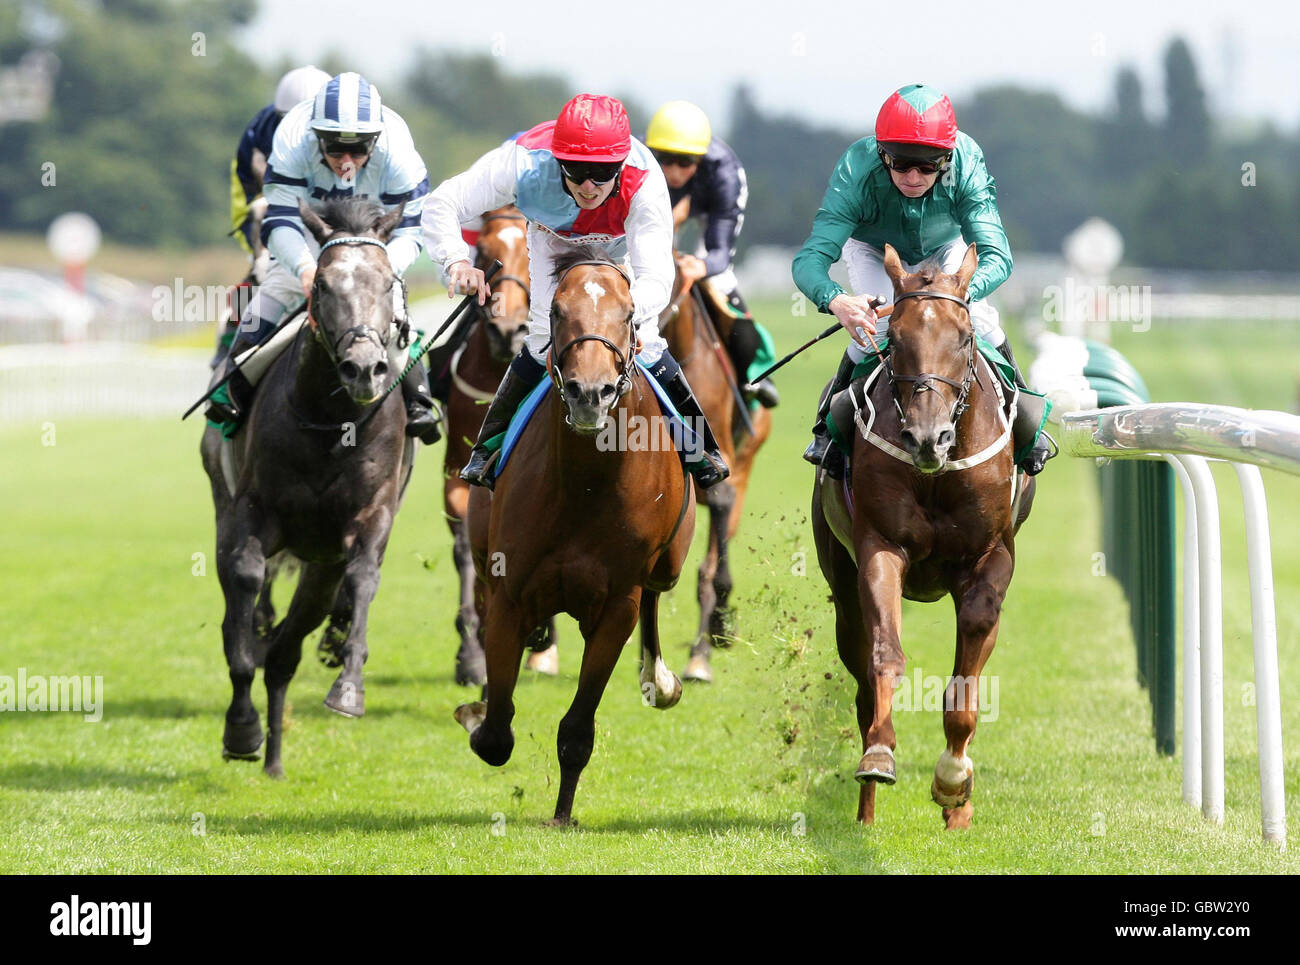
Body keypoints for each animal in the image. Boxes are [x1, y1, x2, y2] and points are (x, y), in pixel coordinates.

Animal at [200, 196, 413, 780]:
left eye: (388, 281)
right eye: (321, 284)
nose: (363, 368)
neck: (331, 422)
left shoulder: (369, 515)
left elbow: (364, 576)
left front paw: (349, 688)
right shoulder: (253, 511)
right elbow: (246, 591)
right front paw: (240, 727)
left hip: (320, 570)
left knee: (285, 654)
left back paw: (274, 759)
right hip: (224, 504)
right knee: (249, 628)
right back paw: (255, 736)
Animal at [460, 247, 702, 821]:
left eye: (629, 314)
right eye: (556, 311)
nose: (590, 393)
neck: (586, 484)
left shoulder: (617, 604)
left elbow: (576, 730)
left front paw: (562, 814)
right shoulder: (509, 592)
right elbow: (495, 732)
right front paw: (478, 710)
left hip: (667, 566)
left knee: (656, 597)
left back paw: (659, 680)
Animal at [811, 243, 1034, 832]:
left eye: (964, 337)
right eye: (894, 339)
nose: (927, 438)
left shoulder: (992, 557)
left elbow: (968, 668)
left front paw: (953, 781)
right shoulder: (878, 549)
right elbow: (885, 655)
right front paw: (879, 755)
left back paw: (960, 808)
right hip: (839, 582)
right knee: (861, 676)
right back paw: (866, 808)